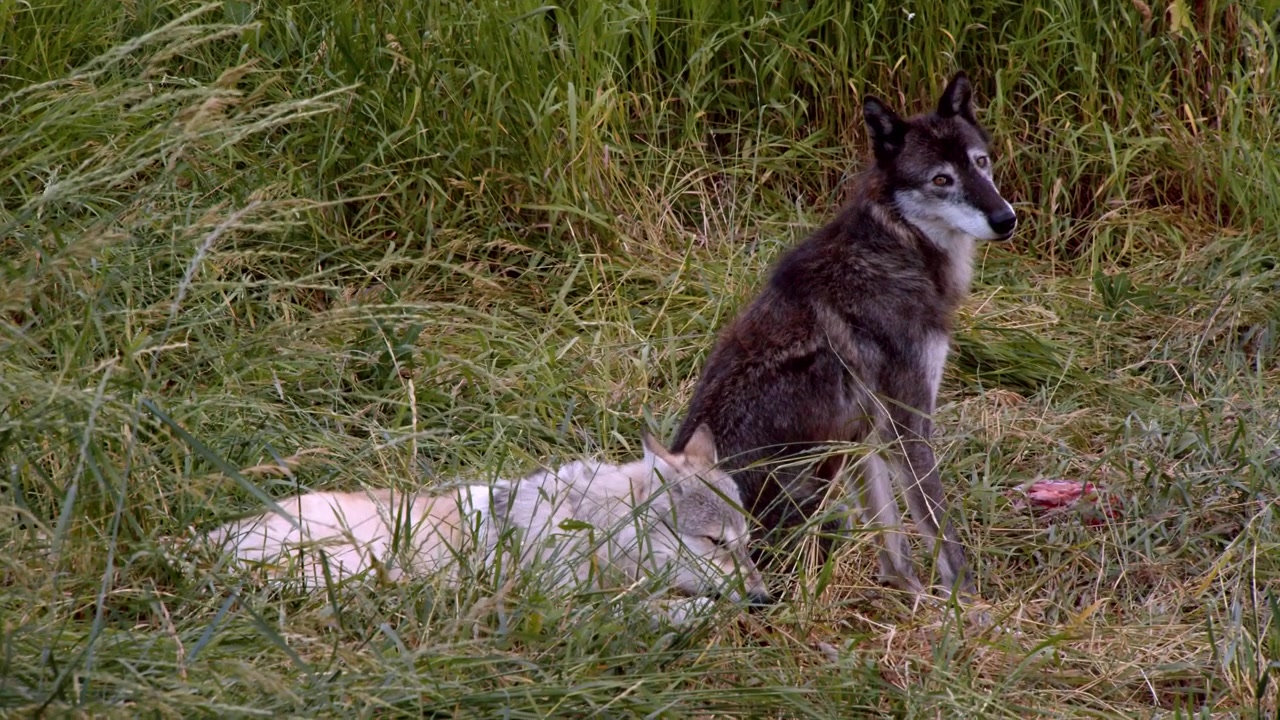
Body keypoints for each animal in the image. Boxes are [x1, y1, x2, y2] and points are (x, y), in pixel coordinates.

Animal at [206, 424, 768, 622]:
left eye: (747, 544)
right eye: (716, 542)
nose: (765, 599)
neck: (590, 525)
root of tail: (199, 544)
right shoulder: (557, 601)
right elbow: (643, 607)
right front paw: (697, 612)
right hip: (358, 565)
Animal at [671, 72, 1016, 596]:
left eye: (980, 163)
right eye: (941, 180)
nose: (1006, 219)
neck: (899, 245)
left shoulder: (865, 436)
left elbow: (894, 545)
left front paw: (913, 598)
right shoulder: (907, 426)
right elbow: (939, 532)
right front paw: (967, 604)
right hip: (822, 484)